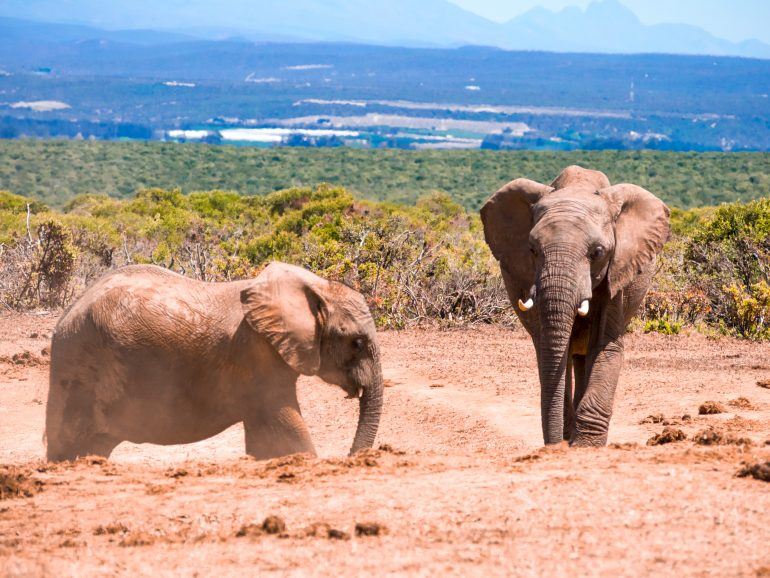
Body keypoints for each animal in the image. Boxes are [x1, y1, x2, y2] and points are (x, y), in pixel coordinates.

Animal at [44, 260, 380, 460]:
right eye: (357, 342)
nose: (351, 457)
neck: (315, 288)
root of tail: (67, 315)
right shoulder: (258, 358)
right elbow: (287, 431)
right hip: (79, 364)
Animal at [480, 165, 664, 446]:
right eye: (532, 250)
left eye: (597, 253)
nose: (555, 445)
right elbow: (552, 349)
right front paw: (569, 440)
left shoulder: (619, 271)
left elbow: (605, 345)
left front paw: (586, 445)